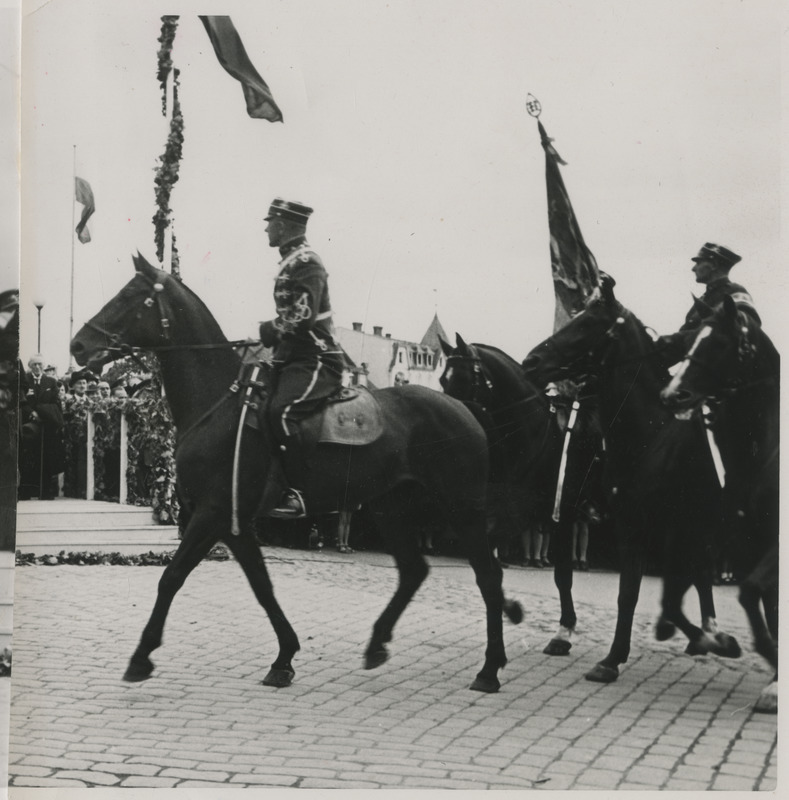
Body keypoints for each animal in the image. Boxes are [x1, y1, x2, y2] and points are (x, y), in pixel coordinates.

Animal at [71, 253, 520, 692]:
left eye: (131, 298)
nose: (78, 344)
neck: (218, 404)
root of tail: (465, 408)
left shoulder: (212, 514)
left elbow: (172, 576)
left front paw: (141, 656)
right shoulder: (233, 522)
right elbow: (261, 585)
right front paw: (284, 657)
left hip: (462, 508)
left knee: (488, 576)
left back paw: (489, 668)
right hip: (389, 508)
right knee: (414, 570)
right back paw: (378, 644)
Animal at [440, 334, 588, 652]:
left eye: (463, 379)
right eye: (443, 380)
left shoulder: (560, 515)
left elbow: (563, 575)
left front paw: (564, 631)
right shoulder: (503, 517)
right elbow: (488, 566)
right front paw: (511, 609)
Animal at [524, 278, 740, 684]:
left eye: (587, 324)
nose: (531, 362)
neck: (650, 436)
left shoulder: (658, 528)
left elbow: (643, 593)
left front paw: (612, 658)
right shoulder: (622, 522)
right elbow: (622, 589)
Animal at [660, 296, 780, 712]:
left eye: (720, 344)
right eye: (690, 340)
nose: (671, 395)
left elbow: (751, 593)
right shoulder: (745, 544)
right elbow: (761, 601)